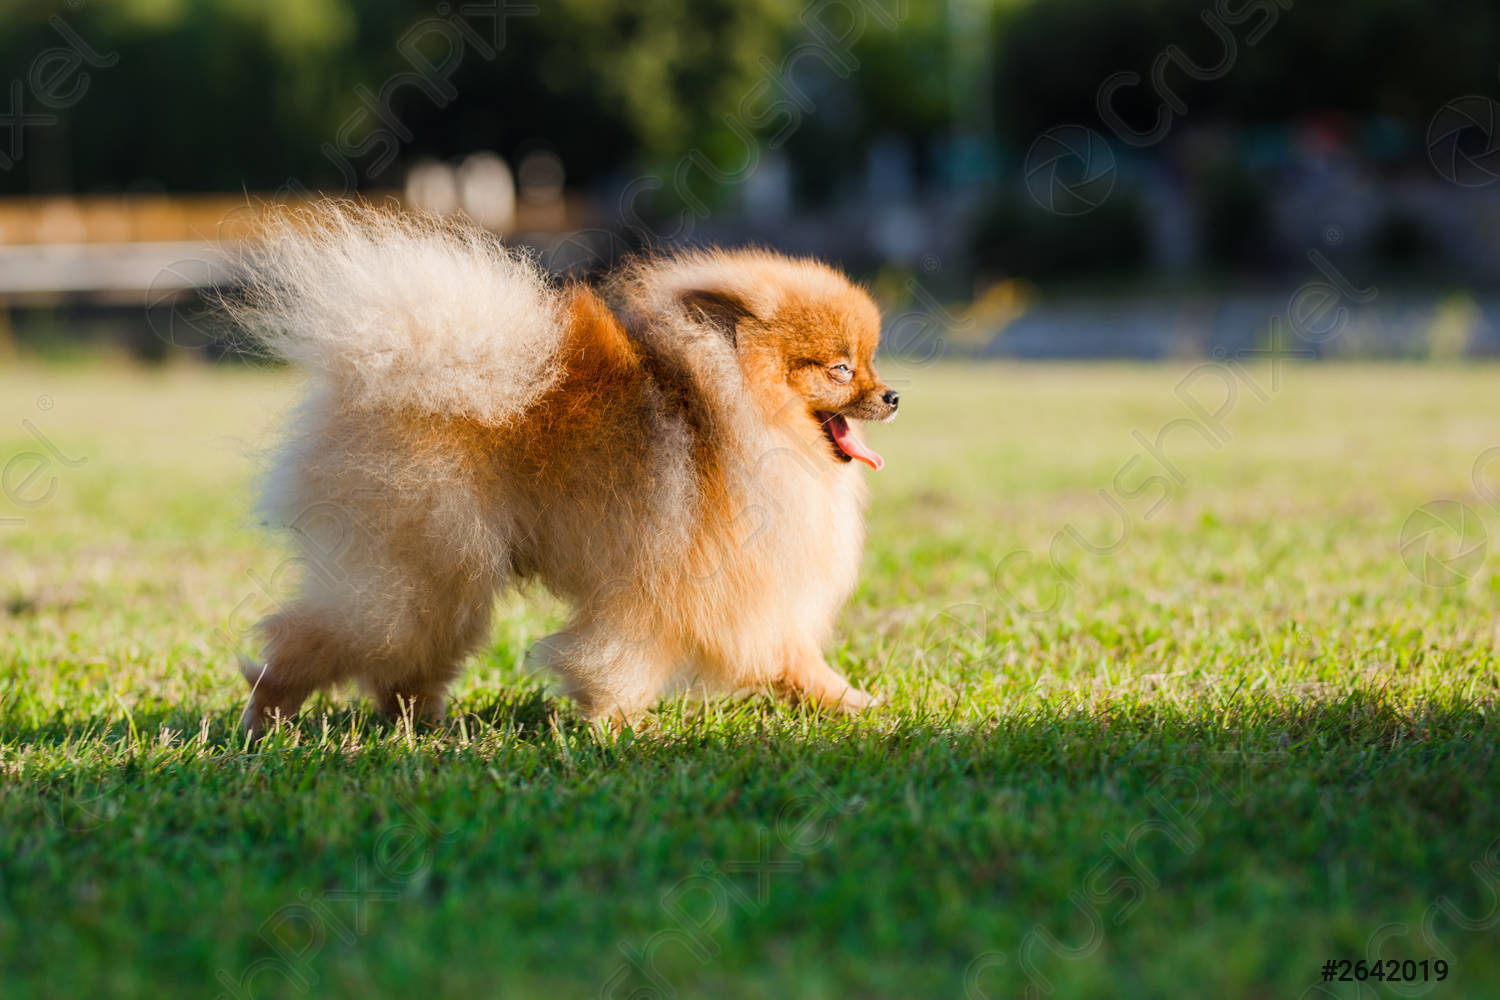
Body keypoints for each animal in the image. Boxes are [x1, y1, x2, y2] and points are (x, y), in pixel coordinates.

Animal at [228, 205, 894, 734]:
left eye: (870, 361)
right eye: (840, 368)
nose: (891, 396)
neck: (737, 414)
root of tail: (374, 372)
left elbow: (792, 659)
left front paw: (853, 703)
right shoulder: (670, 585)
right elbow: (628, 661)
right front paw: (617, 728)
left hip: (441, 579)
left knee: (406, 664)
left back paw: (425, 727)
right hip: (413, 573)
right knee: (316, 637)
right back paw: (266, 719)